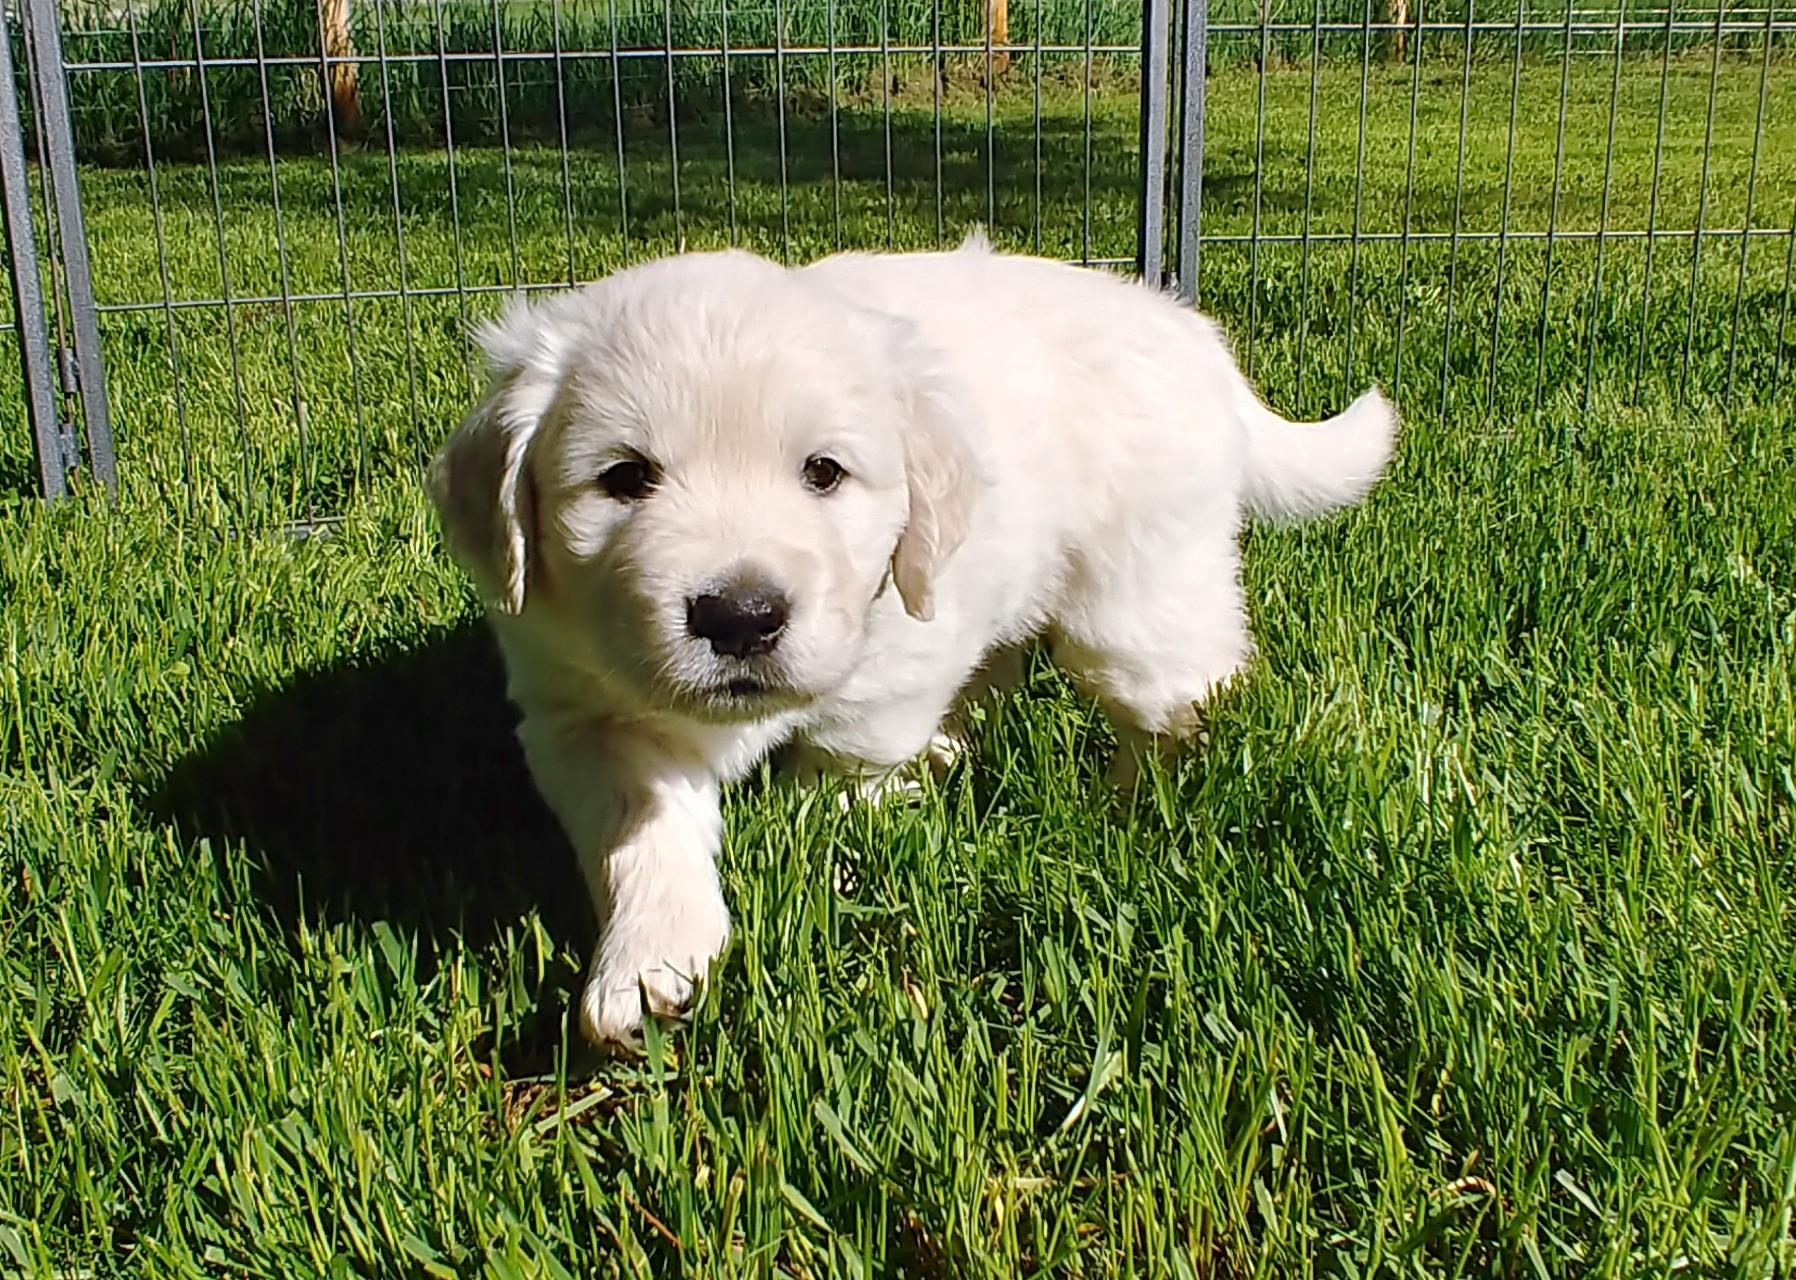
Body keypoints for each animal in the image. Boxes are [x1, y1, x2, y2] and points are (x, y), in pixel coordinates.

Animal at [428, 234, 1397, 1048]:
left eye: (824, 472)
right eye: (624, 478)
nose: (741, 617)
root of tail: (1190, 332)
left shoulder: (893, 666)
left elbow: (838, 777)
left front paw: (821, 854)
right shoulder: (575, 709)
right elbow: (642, 827)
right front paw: (648, 963)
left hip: (1139, 598)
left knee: (1179, 694)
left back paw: (1134, 803)